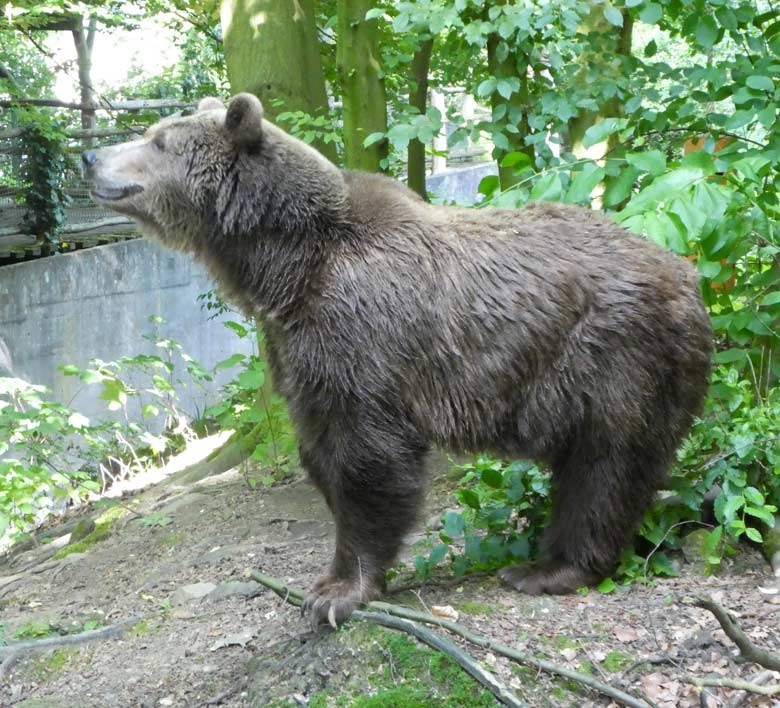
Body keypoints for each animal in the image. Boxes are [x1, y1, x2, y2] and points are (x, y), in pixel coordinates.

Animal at [84, 92, 712, 624]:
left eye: (159, 141)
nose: (91, 156)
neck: (284, 267)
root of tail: (686, 273)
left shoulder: (364, 333)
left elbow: (370, 459)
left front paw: (338, 591)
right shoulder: (298, 350)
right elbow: (320, 450)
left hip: (613, 353)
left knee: (606, 461)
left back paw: (549, 568)